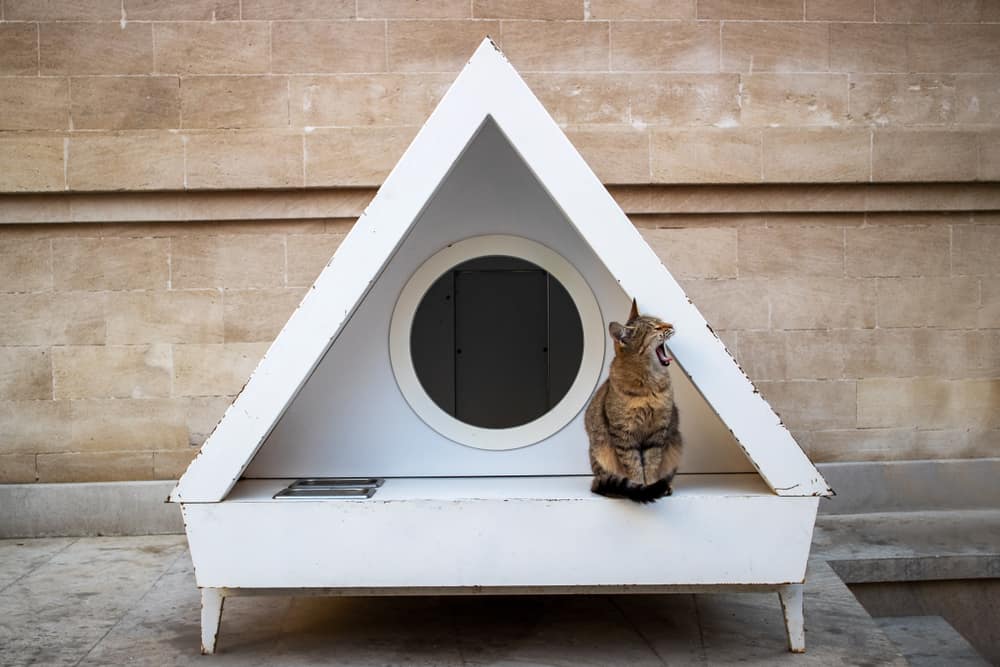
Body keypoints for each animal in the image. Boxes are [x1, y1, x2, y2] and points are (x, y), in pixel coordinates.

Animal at [584, 300, 684, 504]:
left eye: (661, 321)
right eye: (656, 327)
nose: (671, 325)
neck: (649, 384)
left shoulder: (657, 432)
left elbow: (652, 464)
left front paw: (653, 485)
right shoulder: (624, 434)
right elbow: (634, 467)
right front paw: (641, 488)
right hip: (601, 452)